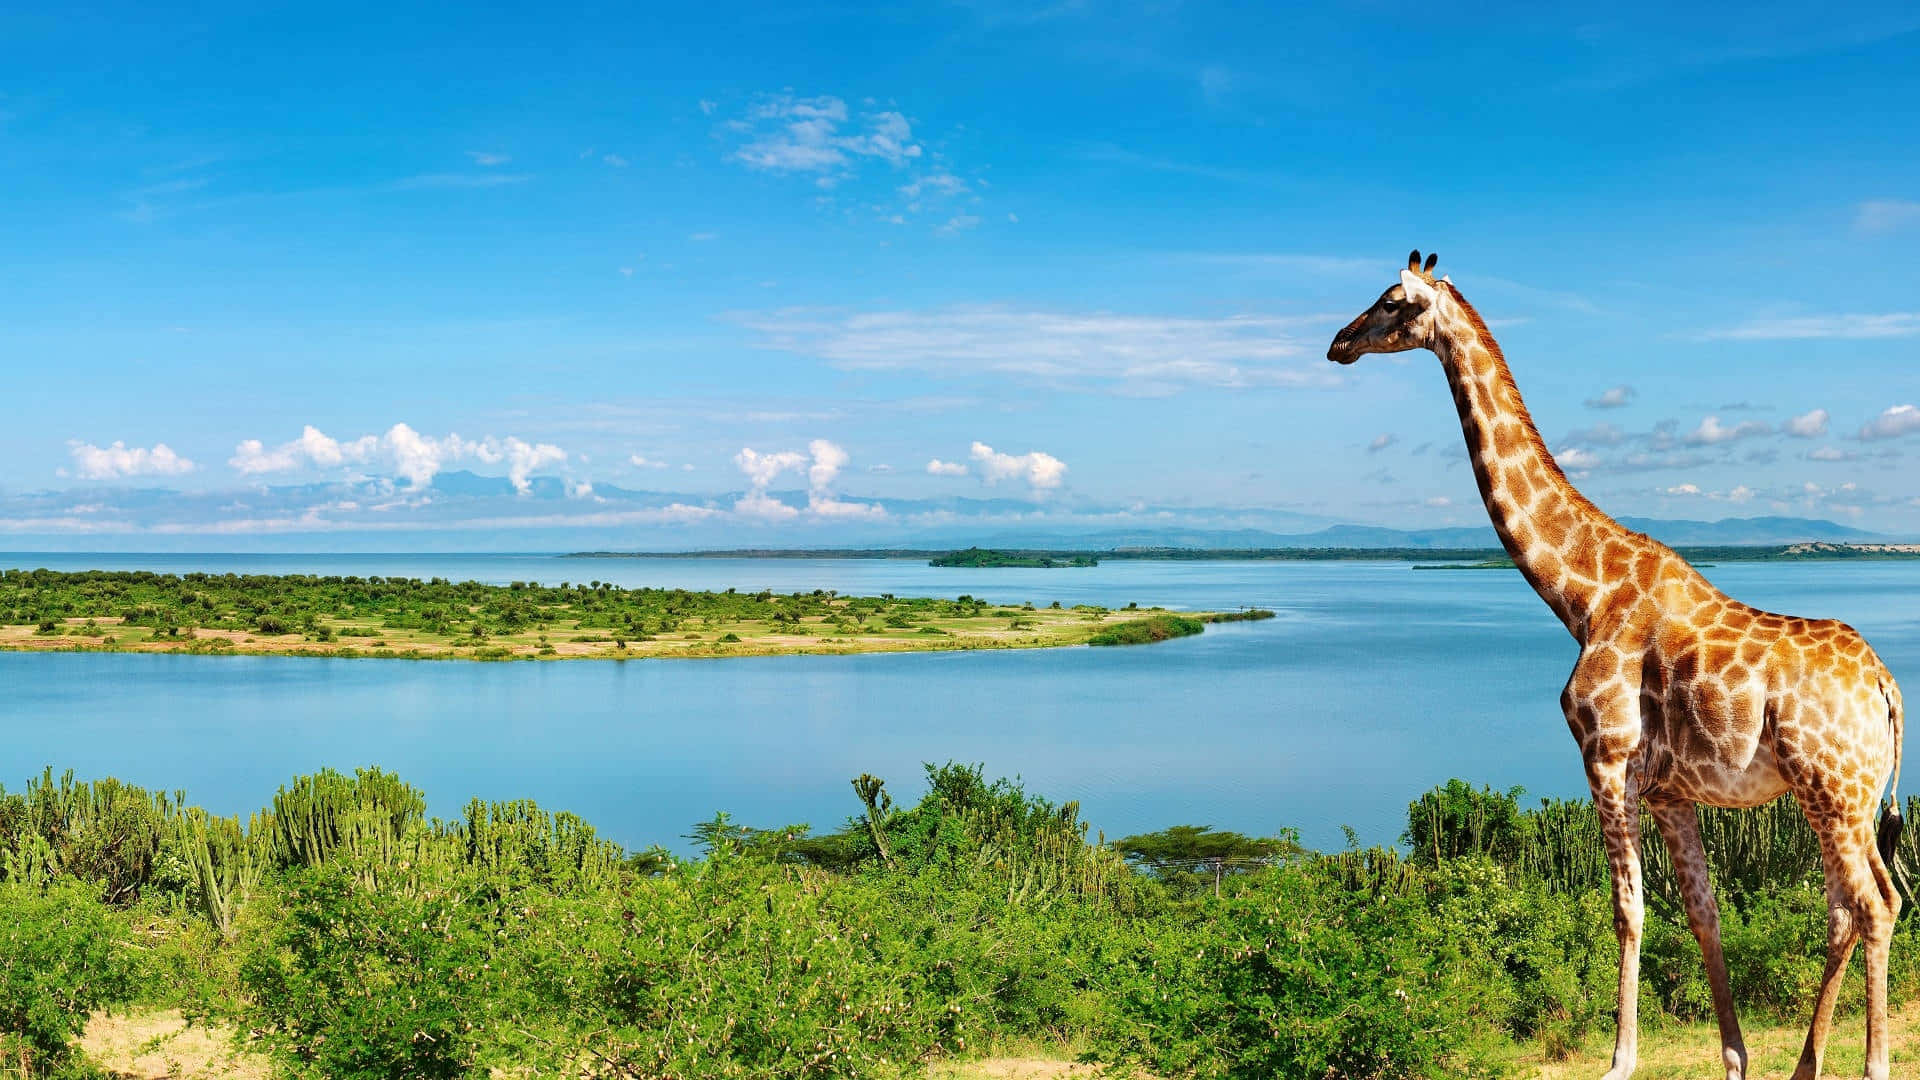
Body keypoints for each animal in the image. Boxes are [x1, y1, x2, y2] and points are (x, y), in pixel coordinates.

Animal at [1336, 247, 1904, 1068]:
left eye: (1390, 301)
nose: (1338, 344)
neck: (1582, 594)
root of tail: (1888, 686)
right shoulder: (1670, 791)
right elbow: (1702, 912)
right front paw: (1735, 1060)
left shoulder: (1605, 758)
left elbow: (1628, 912)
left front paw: (1620, 1060)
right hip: (1834, 797)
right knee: (1847, 907)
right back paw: (1806, 1066)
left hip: (1835, 788)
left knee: (1877, 903)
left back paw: (1871, 1063)